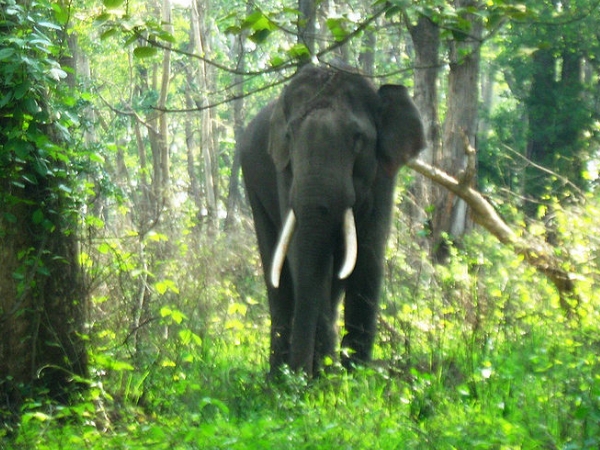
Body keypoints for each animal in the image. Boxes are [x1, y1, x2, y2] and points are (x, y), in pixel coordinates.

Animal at [239, 64, 426, 376]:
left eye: (358, 138)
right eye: (289, 136)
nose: (301, 373)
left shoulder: (382, 176)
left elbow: (368, 258)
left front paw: (355, 376)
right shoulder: (285, 173)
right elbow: (305, 260)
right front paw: (327, 377)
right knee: (277, 274)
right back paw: (277, 375)